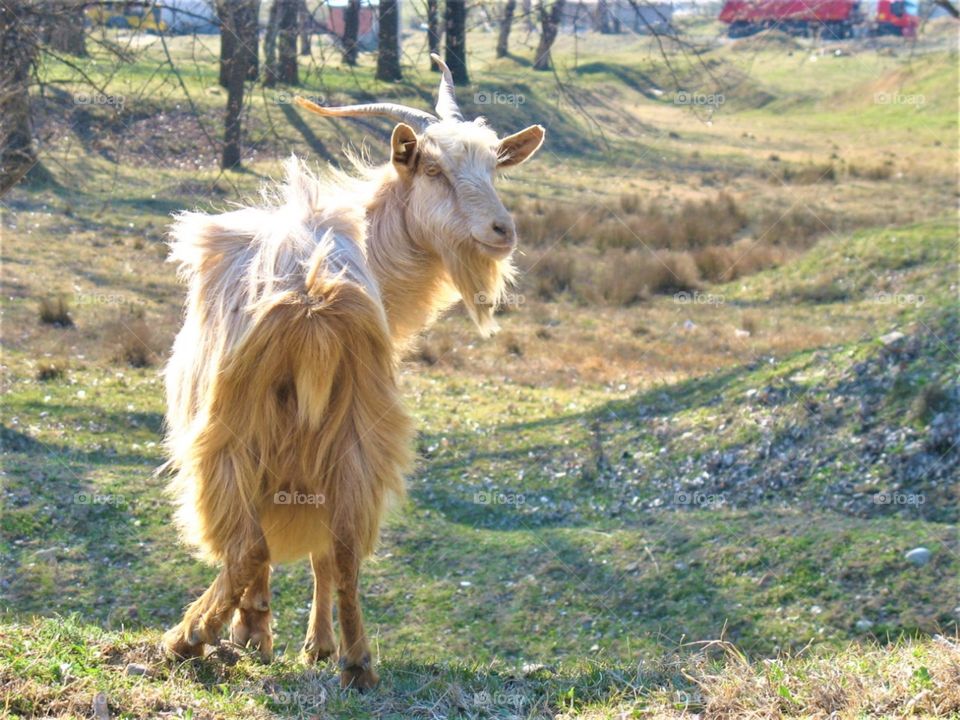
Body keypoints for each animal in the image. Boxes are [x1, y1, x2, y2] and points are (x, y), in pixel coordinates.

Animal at [161, 55, 544, 689]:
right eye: (434, 168)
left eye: (494, 166)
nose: (502, 231)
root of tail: (315, 295)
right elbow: (323, 552)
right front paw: (310, 646)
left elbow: (271, 548)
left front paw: (256, 635)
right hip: (361, 426)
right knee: (342, 546)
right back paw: (358, 662)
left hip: (228, 432)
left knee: (247, 544)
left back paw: (187, 637)